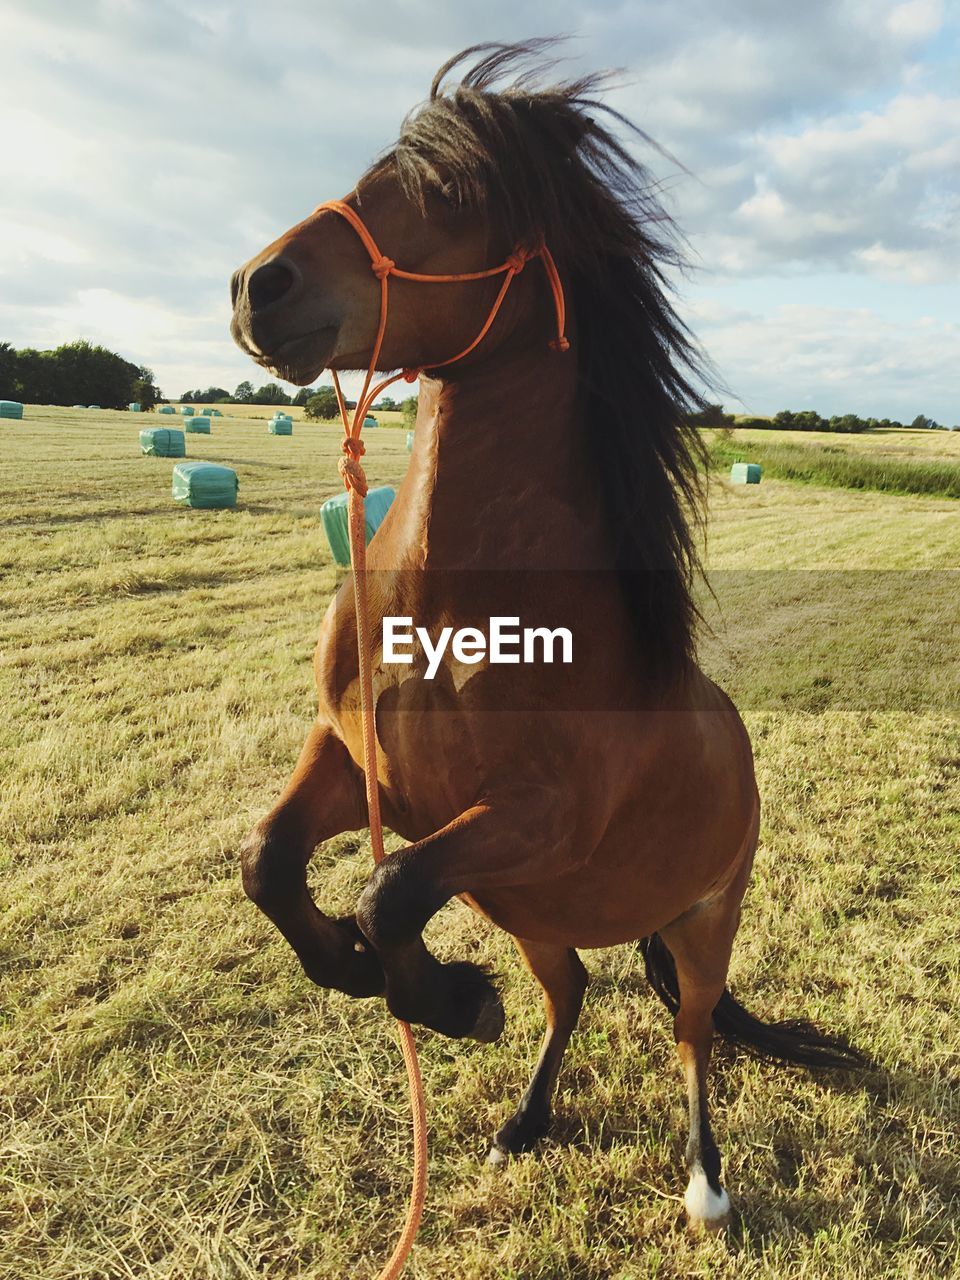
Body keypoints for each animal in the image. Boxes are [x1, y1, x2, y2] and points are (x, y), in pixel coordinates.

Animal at [229, 45, 860, 1233]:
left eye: (452, 191)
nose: (257, 287)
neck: (449, 620)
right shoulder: (353, 758)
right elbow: (270, 865)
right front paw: (395, 980)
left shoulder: (534, 818)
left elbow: (388, 889)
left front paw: (448, 996)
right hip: (533, 914)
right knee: (572, 993)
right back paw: (523, 1118)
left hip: (703, 922)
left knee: (692, 1035)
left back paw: (706, 1180)